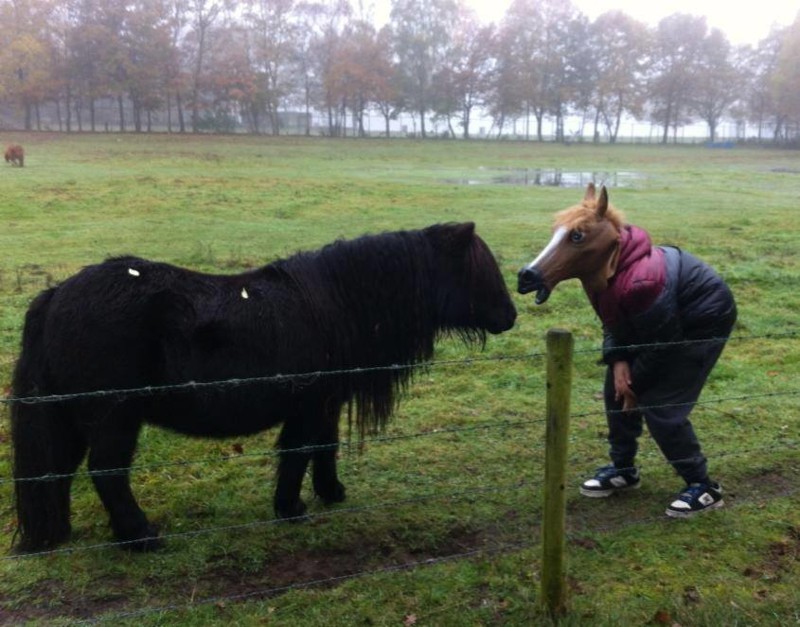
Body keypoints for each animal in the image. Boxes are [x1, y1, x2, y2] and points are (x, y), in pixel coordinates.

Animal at [10, 223, 512, 552]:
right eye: (478, 269)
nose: (510, 316)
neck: (338, 303)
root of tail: (55, 295)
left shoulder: (324, 403)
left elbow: (323, 448)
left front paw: (331, 492)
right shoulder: (309, 406)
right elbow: (299, 452)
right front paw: (290, 507)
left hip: (73, 419)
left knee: (58, 472)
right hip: (114, 418)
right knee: (107, 472)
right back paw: (140, 536)